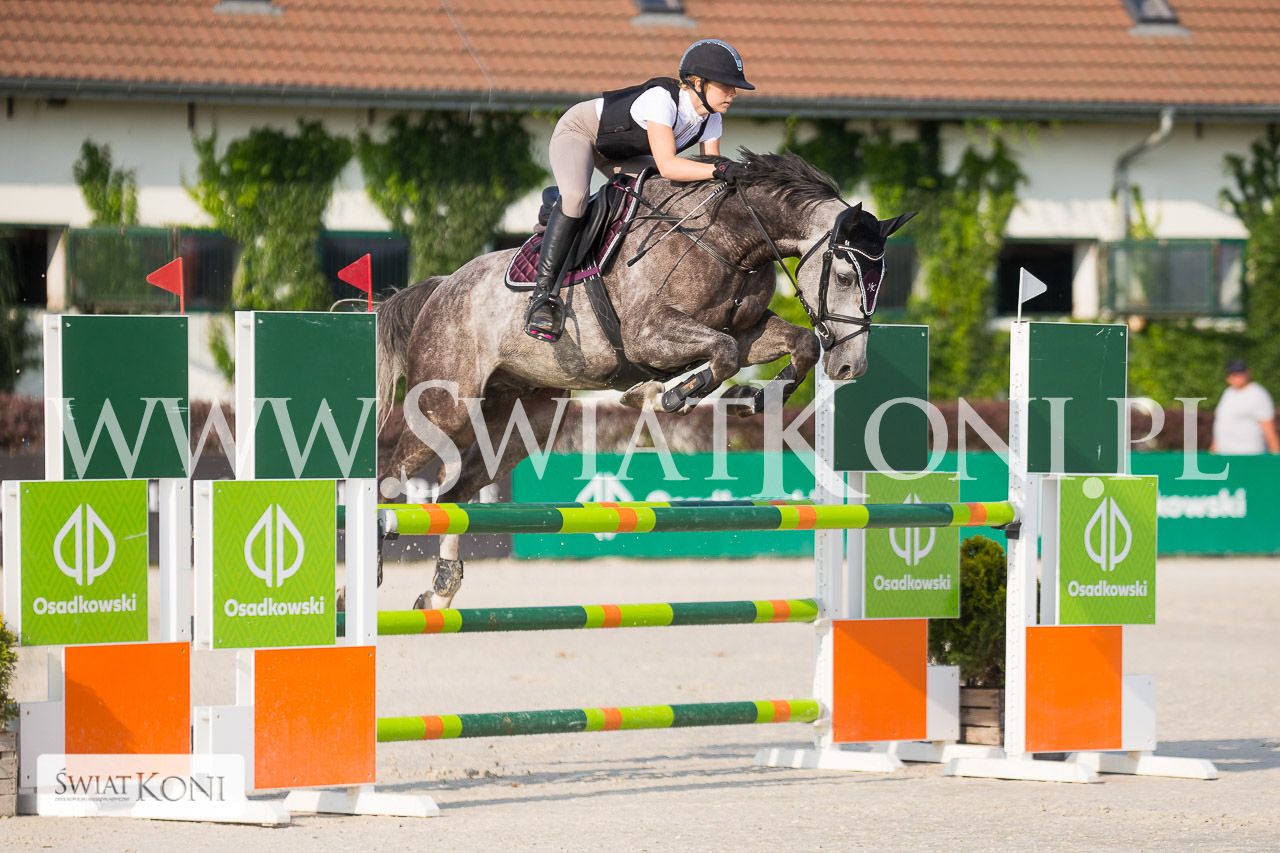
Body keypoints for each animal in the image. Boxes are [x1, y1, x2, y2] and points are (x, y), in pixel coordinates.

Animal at [375, 150, 915, 609]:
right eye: (845, 276)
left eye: (882, 281)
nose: (850, 368)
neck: (728, 241)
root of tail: (441, 288)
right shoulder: (646, 335)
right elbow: (720, 354)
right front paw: (662, 395)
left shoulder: (748, 330)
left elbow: (792, 344)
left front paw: (747, 399)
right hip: (446, 405)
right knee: (389, 478)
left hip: (524, 419)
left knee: (453, 494)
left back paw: (440, 591)